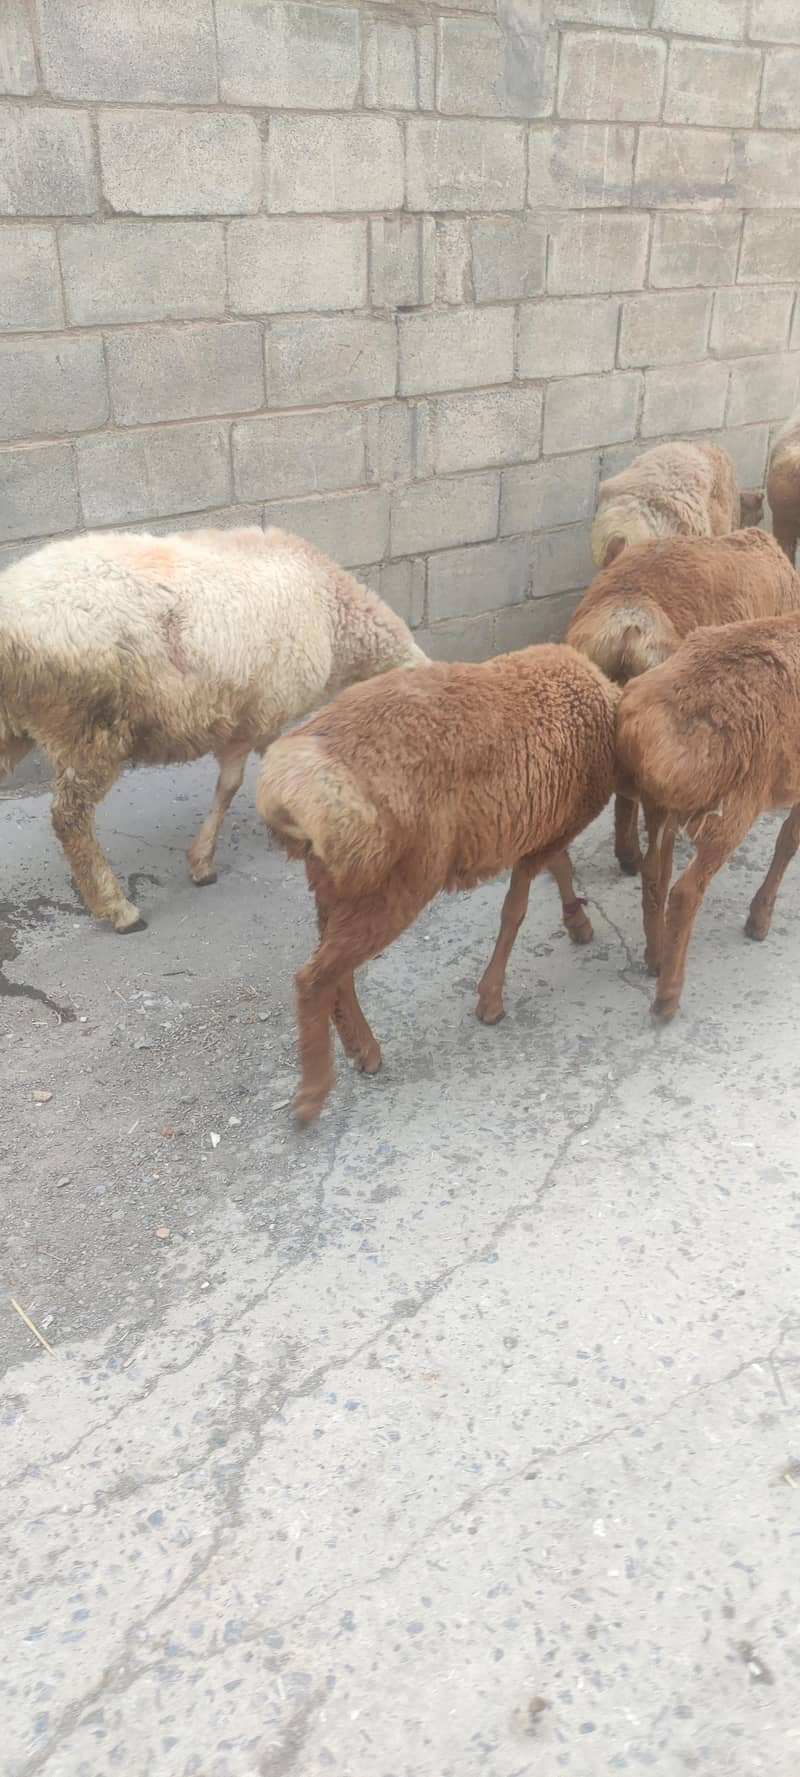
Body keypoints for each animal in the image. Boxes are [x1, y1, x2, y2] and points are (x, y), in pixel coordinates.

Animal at [0, 525, 427, 932]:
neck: (333, 613)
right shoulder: (257, 716)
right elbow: (232, 786)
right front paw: (204, 862)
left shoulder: (257, 719)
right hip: (88, 728)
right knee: (69, 818)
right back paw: (118, 909)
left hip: (16, 727)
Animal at [256, 644, 619, 1122]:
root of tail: (291, 789)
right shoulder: (547, 827)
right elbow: (516, 909)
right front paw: (491, 1001)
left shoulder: (545, 824)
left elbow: (557, 869)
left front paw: (577, 922)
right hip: (392, 888)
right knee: (313, 978)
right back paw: (315, 1093)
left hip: (338, 888)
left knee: (335, 971)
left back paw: (361, 1050)